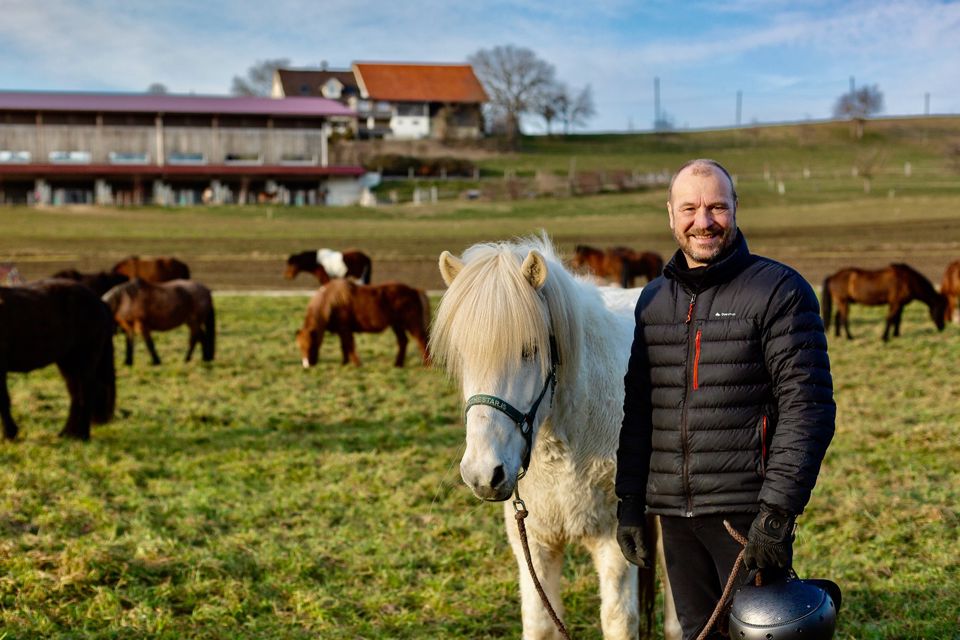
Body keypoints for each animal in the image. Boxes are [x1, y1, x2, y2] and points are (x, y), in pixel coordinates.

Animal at [0, 280, 116, 440]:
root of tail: (98, 301)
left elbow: (2, 400)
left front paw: (9, 434)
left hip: (83, 359)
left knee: (86, 391)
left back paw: (82, 434)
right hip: (68, 362)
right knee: (76, 393)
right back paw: (67, 433)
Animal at [292, 278, 428, 368]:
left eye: (311, 345)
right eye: (300, 347)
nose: (307, 364)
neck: (330, 301)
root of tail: (413, 290)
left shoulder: (345, 329)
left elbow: (349, 345)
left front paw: (357, 363)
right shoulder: (342, 330)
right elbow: (344, 346)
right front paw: (344, 362)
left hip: (412, 324)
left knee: (422, 341)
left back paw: (427, 364)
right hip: (397, 325)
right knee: (403, 341)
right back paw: (398, 364)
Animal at [432, 236, 680, 640]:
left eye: (529, 350)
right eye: (463, 354)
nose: (483, 473)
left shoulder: (614, 542)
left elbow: (618, 620)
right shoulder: (534, 542)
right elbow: (539, 622)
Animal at [820, 262, 948, 340]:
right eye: (941, 309)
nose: (942, 327)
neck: (907, 280)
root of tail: (833, 276)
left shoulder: (900, 305)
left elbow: (897, 319)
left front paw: (896, 335)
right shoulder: (895, 303)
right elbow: (890, 318)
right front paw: (885, 337)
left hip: (843, 302)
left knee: (837, 317)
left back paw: (838, 335)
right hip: (843, 302)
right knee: (843, 318)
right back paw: (850, 337)